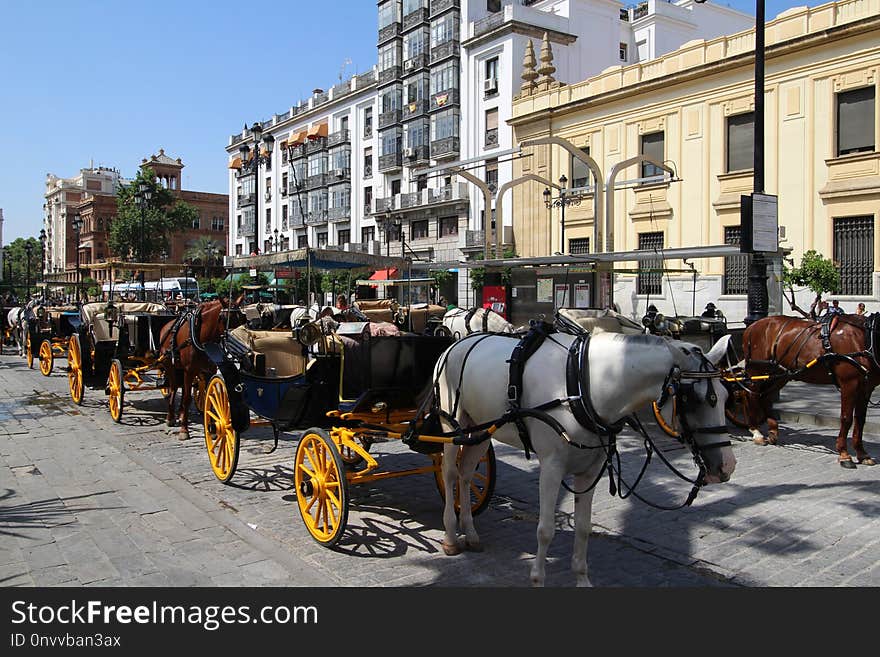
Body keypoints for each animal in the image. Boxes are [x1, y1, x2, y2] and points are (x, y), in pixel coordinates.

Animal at [156, 300, 235, 438]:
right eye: (225, 318)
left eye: (242, 317)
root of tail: (166, 326)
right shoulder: (189, 370)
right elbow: (187, 399)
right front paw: (184, 430)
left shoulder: (209, 370)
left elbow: (210, 396)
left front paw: (212, 428)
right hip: (170, 365)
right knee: (174, 388)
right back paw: (170, 417)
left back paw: (181, 414)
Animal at [434, 330, 736, 588]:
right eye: (693, 399)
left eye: (724, 396)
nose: (727, 466)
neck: (581, 385)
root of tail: (456, 343)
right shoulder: (551, 467)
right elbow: (545, 529)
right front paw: (538, 579)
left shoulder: (590, 470)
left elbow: (583, 527)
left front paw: (582, 578)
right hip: (452, 424)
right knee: (450, 474)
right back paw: (451, 535)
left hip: (481, 430)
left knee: (466, 474)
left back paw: (470, 532)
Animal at [744, 312, 880, 466]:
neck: (865, 337)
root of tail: (752, 326)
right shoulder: (849, 384)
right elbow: (846, 419)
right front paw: (844, 454)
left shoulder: (866, 388)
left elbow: (860, 420)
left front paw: (862, 454)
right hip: (756, 372)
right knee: (752, 395)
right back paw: (756, 433)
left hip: (780, 375)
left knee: (766, 396)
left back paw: (773, 431)